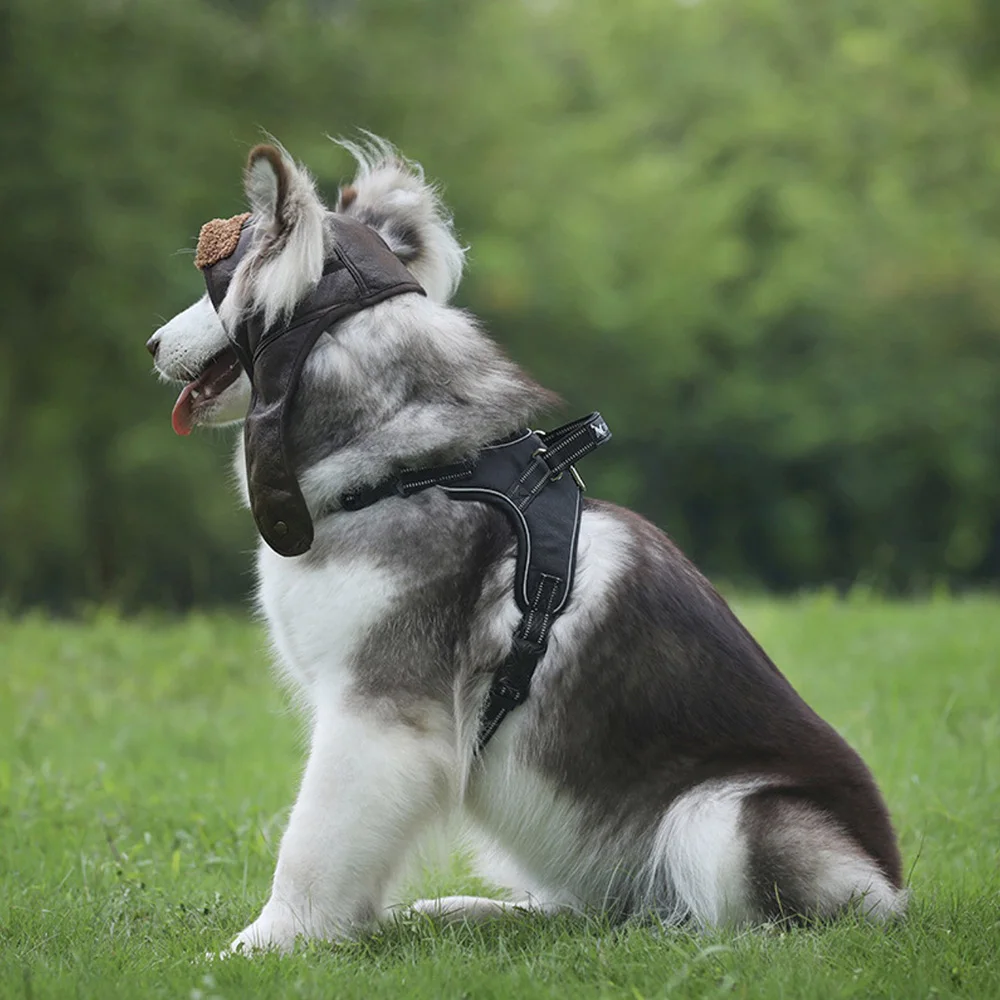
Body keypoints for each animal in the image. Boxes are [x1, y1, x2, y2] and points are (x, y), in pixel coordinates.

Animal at [148, 135, 908, 952]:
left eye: (215, 290)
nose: (152, 344)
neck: (413, 469)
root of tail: (893, 887)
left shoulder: (378, 714)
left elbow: (309, 846)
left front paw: (264, 946)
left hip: (723, 814)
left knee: (726, 919)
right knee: (588, 911)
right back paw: (465, 911)